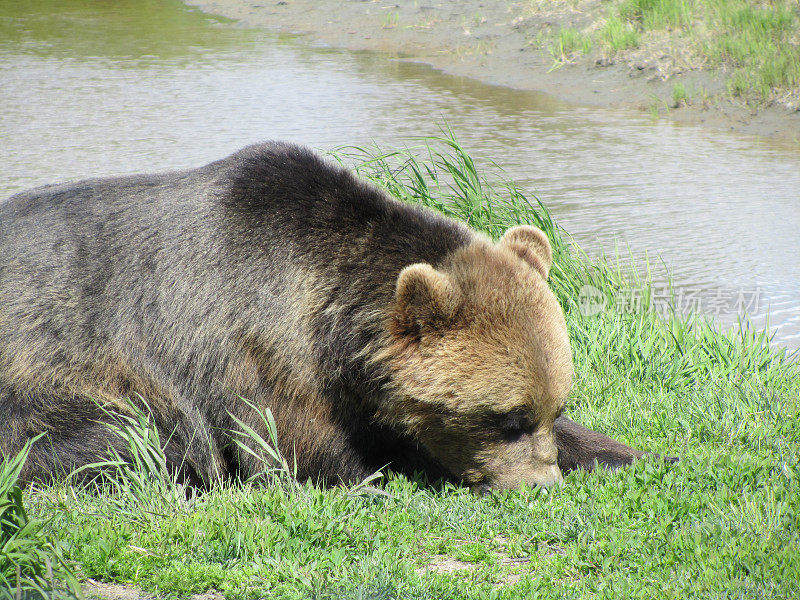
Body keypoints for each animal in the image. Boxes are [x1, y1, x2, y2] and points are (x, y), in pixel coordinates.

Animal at [0, 143, 648, 490]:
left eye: (550, 407)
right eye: (507, 418)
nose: (541, 486)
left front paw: (629, 453)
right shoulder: (258, 349)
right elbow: (301, 448)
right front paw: (380, 476)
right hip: (51, 374)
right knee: (142, 436)